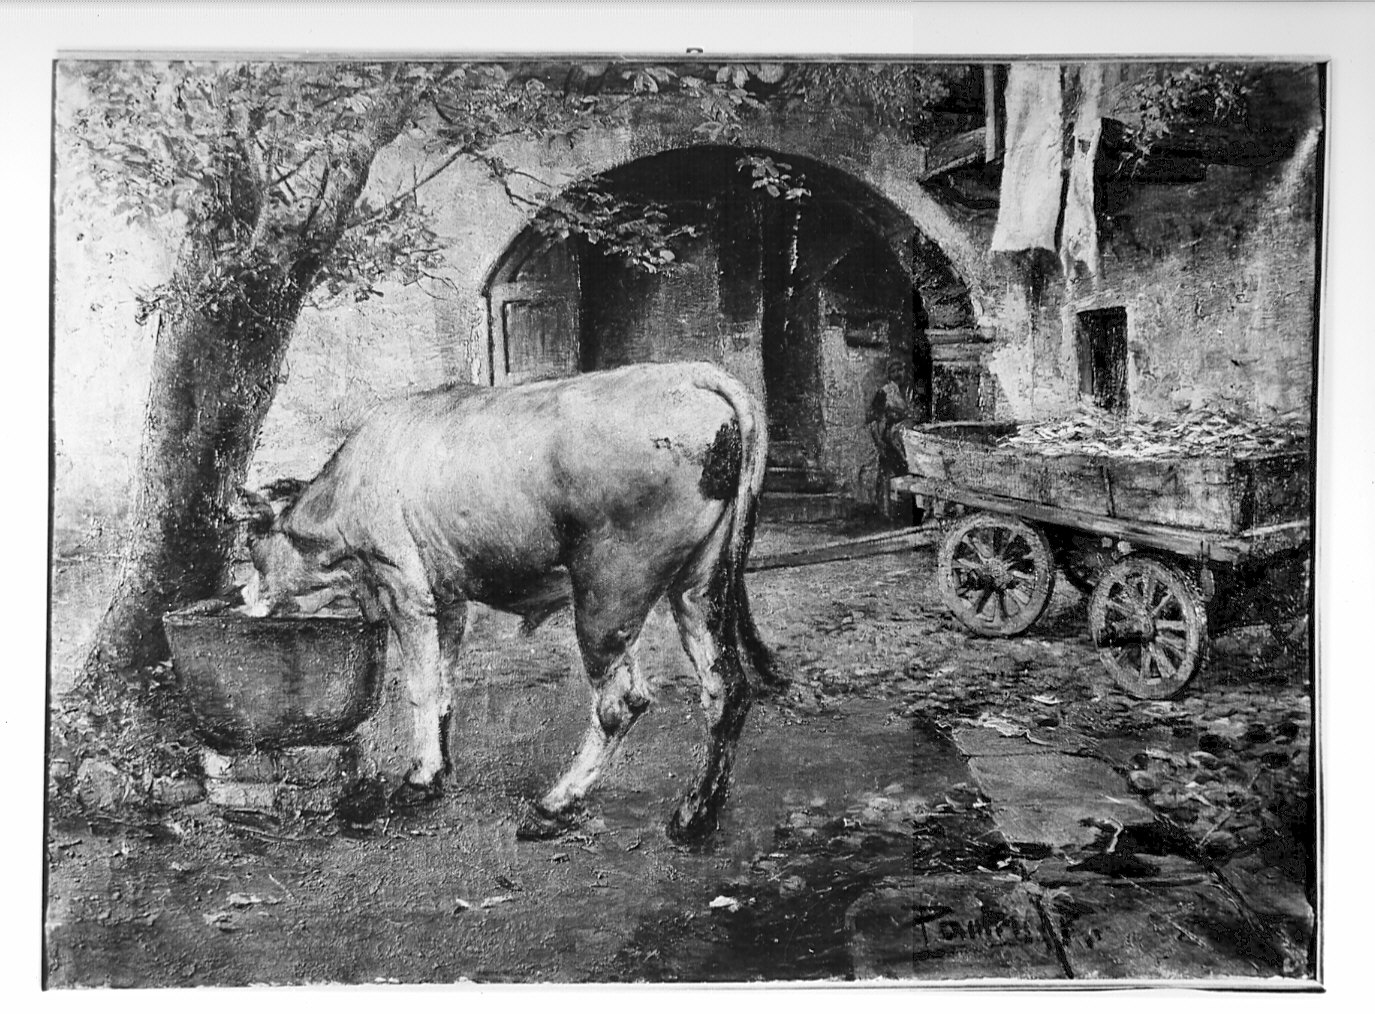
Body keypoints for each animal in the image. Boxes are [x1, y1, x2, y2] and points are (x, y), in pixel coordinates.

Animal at [235, 363, 775, 836]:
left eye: (253, 548)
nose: (242, 599)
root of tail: (691, 373)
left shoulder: (403, 588)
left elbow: (421, 686)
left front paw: (419, 777)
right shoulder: (447, 599)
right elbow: (444, 683)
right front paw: (438, 772)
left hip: (608, 596)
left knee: (620, 702)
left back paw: (555, 805)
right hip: (698, 586)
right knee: (724, 689)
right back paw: (694, 816)